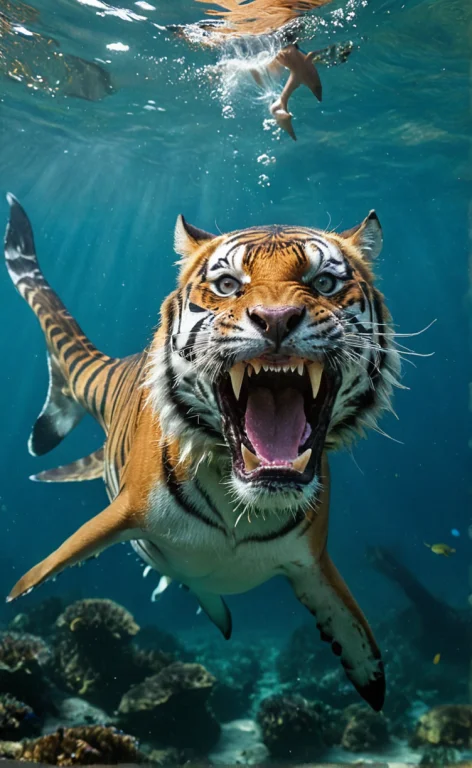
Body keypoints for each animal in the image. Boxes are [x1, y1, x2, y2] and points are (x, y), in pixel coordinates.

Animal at [4, 193, 400, 712]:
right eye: (228, 284)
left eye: (325, 283)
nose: (276, 318)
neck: (244, 504)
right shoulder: (125, 509)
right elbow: (46, 566)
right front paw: (19, 591)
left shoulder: (314, 563)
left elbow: (354, 628)